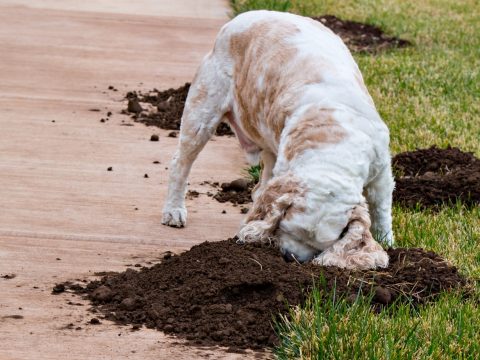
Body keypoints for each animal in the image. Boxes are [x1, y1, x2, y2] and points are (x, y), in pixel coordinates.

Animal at [161, 9, 394, 268]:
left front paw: (386, 241)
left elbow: (381, 209)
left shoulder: (381, 171)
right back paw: (174, 210)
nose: (290, 257)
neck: (334, 149)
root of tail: (245, 16)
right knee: (181, 163)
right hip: (202, 110)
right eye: (287, 228)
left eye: (319, 245)